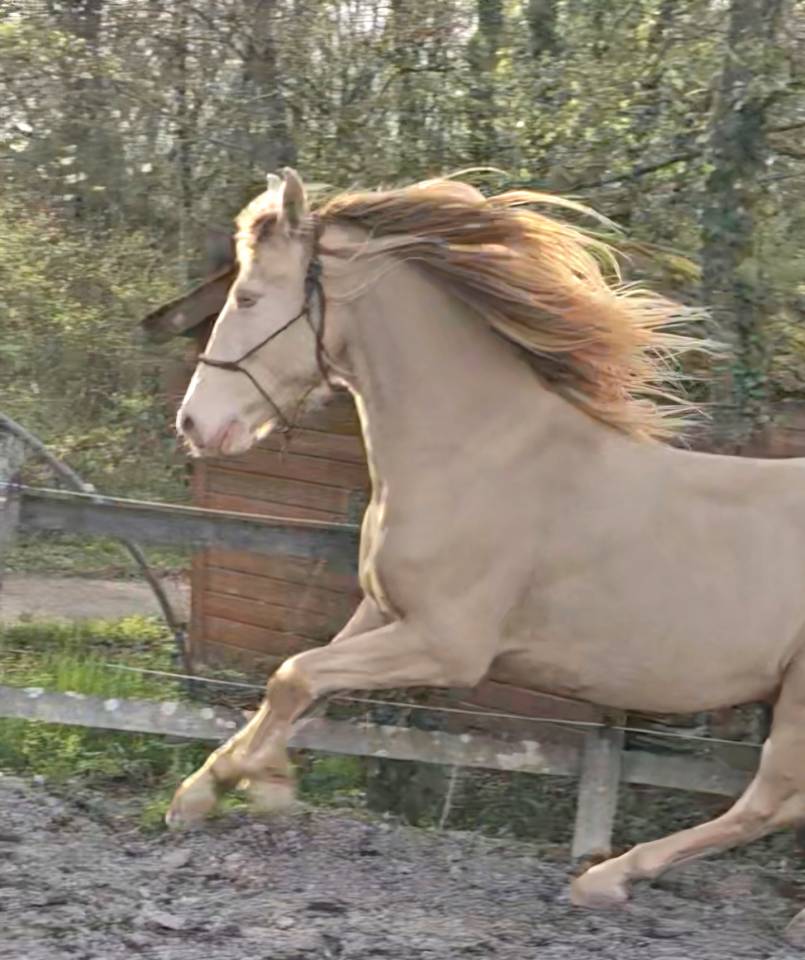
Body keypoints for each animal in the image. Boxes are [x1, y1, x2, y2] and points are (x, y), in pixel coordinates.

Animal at [167, 168, 805, 944]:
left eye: (250, 297)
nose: (195, 424)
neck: (474, 451)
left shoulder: (448, 645)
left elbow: (294, 676)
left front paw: (261, 785)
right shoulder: (383, 611)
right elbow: (299, 682)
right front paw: (209, 787)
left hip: (799, 700)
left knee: (772, 800)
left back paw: (606, 879)